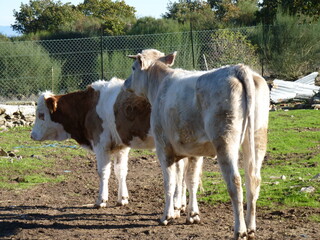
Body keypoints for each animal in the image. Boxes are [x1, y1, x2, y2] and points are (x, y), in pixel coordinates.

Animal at [30, 77, 200, 214]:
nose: (32, 135)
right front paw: (122, 198)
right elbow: (121, 171)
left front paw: (101, 200)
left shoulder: (101, 144)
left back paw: (178, 204)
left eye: (41, 114)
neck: (89, 105)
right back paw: (181, 204)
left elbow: (104, 172)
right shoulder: (121, 147)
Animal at [124, 49, 268, 240]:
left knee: (235, 182)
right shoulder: (194, 151)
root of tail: (238, 68)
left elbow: (169, 182)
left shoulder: (163, 148)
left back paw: (240, 230)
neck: (160, 86)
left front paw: (167, 216)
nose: (125, 83)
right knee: (254, 180)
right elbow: (191, 180)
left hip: (225, 141)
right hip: (257, 139)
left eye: (133, 68)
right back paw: (251, 228)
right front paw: (192, 215)